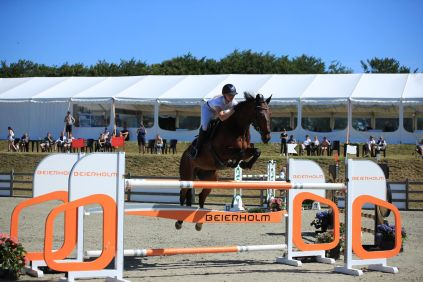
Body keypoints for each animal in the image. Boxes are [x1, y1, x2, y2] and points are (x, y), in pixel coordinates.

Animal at [178, 92, 272, 231]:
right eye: (259, 114)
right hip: (187, 175)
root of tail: (185, 154)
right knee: (183, 194)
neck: (237, 128)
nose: (267, 137)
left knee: (201, 196)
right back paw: (179, 222)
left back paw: (199, 223)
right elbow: (239, 153)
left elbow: (256, 151)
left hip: (210, 178)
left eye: (269, 113)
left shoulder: (247, 150)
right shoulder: (222, 152)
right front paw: (234, 163)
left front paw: (245, 164)